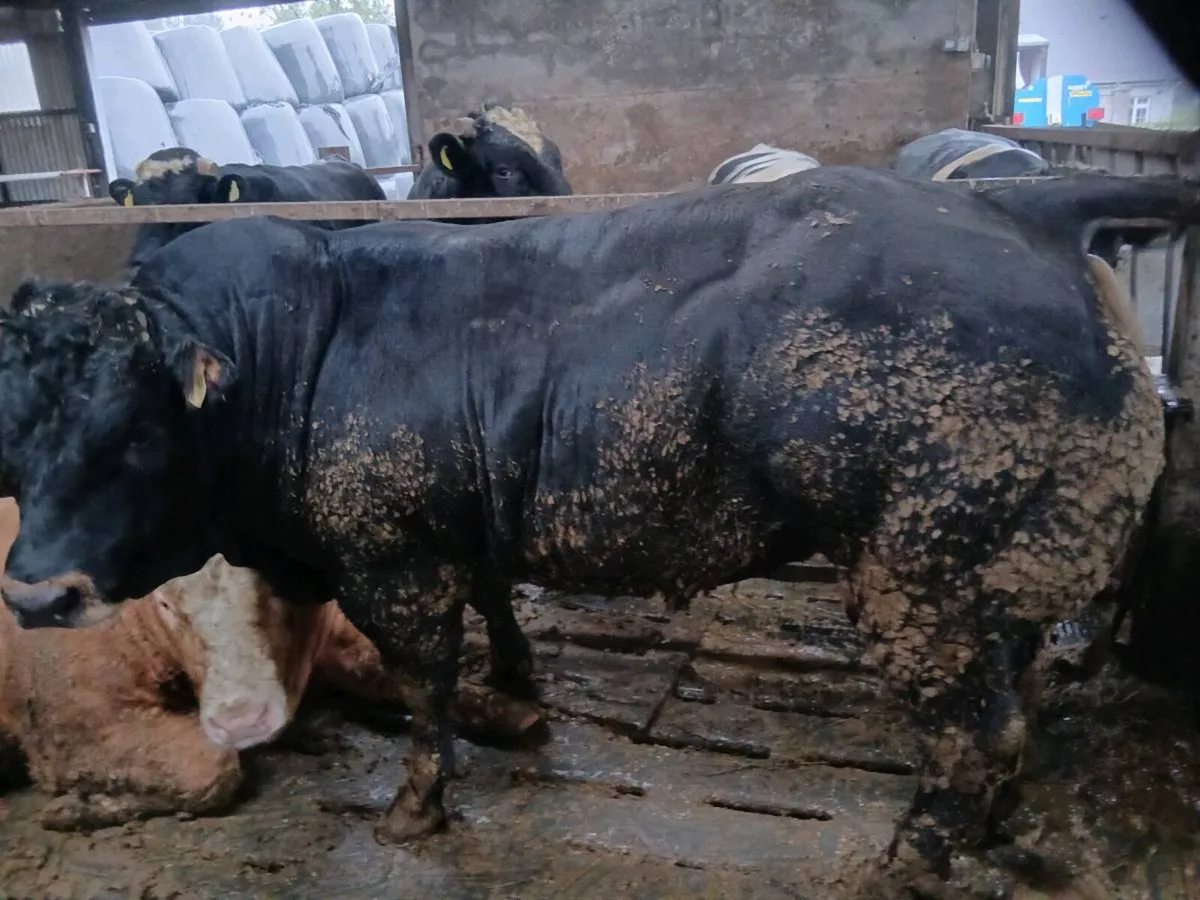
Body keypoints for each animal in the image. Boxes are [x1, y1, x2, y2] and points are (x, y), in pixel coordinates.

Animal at [0, 167, 1191, 893]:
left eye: (136, 434)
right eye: (13, 428)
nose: (33, 594)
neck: (301, 346)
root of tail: (1018, 206)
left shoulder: (392, 558)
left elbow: (426, 685)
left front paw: (416, 809)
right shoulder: (462, 528)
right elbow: (494, 611)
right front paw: (521, 681)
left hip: (921, 579)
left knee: (971, 732)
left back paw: (908, 859)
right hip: (1002, 569)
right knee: (1013, 708)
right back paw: (985, 828)